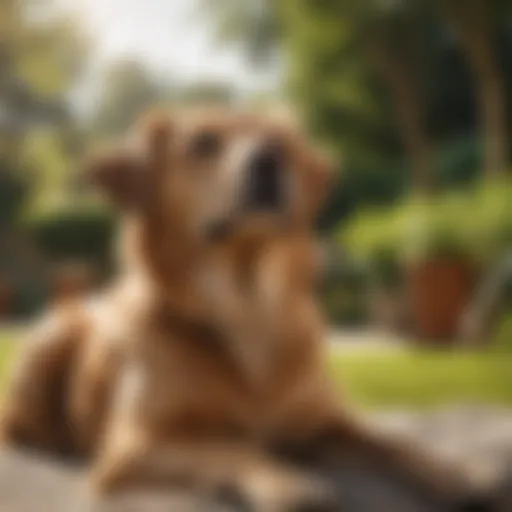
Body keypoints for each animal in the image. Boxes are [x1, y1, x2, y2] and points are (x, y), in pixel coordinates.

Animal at [0, 108, 486, 508]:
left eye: (281, 141)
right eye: (203, 142)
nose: (269, 159)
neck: (248, 305)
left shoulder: (327, 422)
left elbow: (390, 440)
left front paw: (455, 475)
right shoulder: (132, 447)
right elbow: (233, 445)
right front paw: (287, 484)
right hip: (53, 337)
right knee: (19, 428)